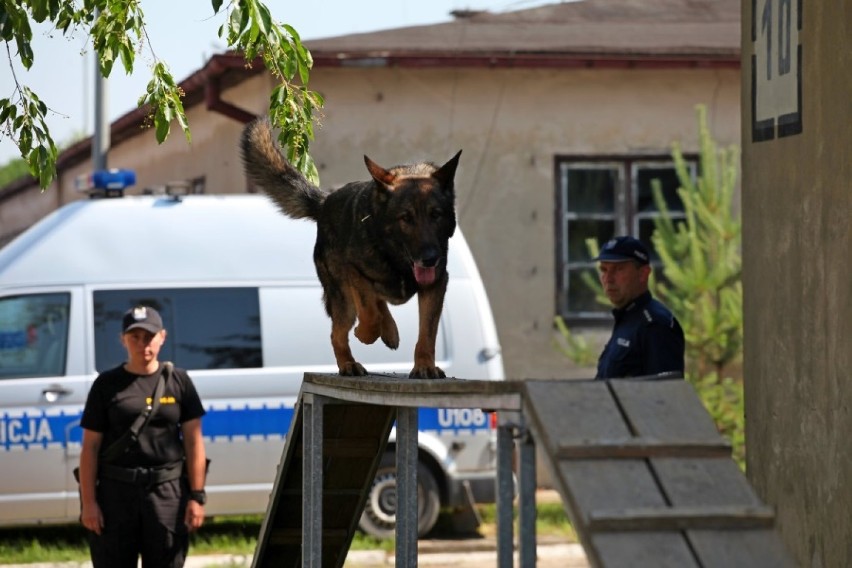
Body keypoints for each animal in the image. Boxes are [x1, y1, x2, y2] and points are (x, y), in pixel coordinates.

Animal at [240, 119, 462, 378]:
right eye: (405, 218)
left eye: (436, 215)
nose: (430, 258)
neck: (394, 257)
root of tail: (325, 202)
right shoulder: (353, 272)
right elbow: (370, 314)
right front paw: (364, 334)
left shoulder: (436, 283)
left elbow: (427, 332)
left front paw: (424, 365)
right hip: (342, 298)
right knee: (338, 331)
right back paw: (349, 362)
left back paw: (389, 331)